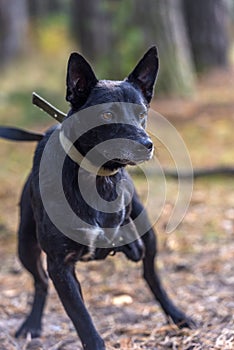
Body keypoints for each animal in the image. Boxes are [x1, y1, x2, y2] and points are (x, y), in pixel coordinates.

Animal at [0, 47, 192, 350]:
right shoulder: (60, 265)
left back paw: (177, 315)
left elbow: (135, 252)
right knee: (40, 281)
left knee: (151, 275)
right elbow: (82, 319)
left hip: (148, 234)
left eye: (142, 113)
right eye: (106, 114)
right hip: (25, 245)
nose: (146, 145)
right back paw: (31, 325)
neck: (98, 178)